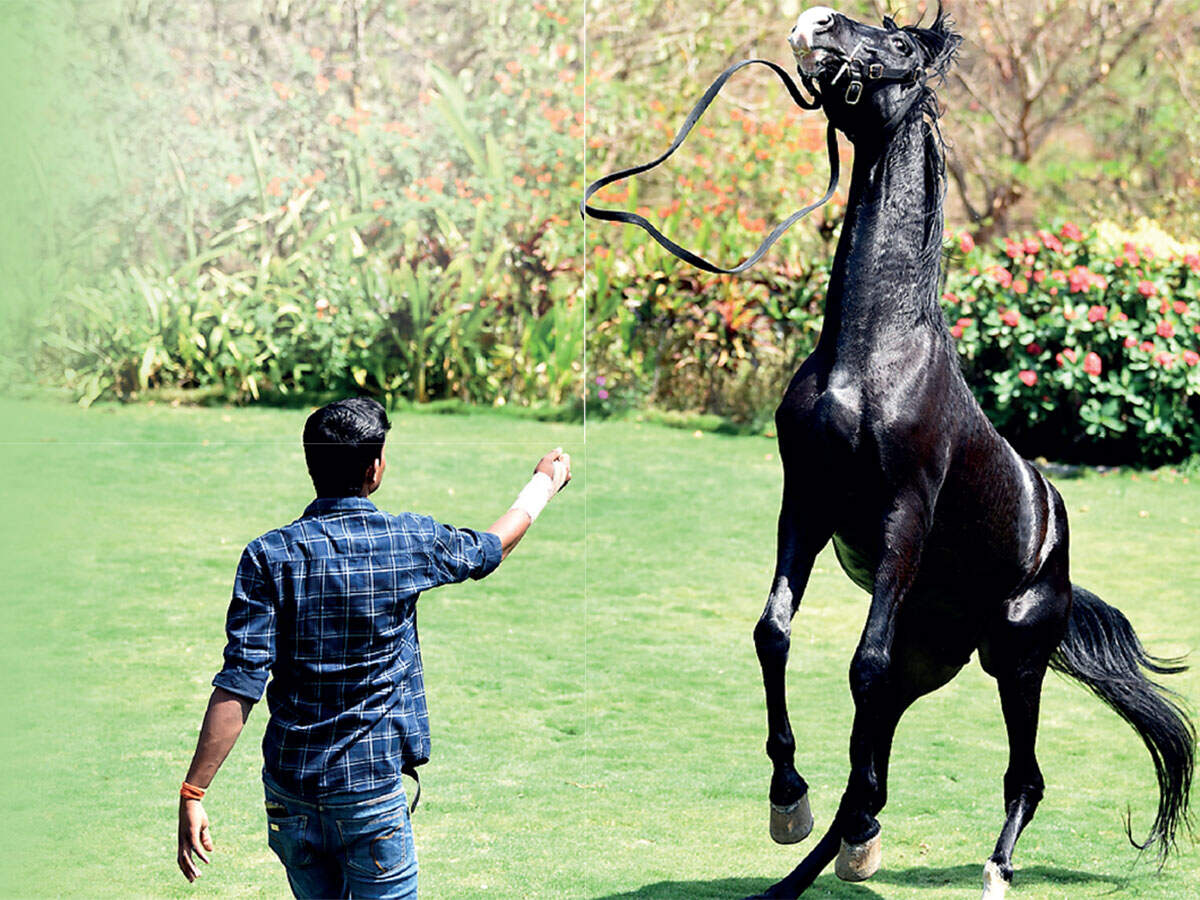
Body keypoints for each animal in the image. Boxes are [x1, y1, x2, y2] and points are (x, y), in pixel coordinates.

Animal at [749, 6, 1195, 898]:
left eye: (898, 47)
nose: (817, 22)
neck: (869, 356)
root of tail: (1056, 544)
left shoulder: (902, 517)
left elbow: (858, 666)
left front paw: (820, 812)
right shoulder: (804, 504)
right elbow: (774, 633)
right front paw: (788, 801)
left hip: (1014, 662)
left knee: (1022, 775)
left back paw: (991, 868)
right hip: (933, 655)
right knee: (878, 751)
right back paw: (829, 856)